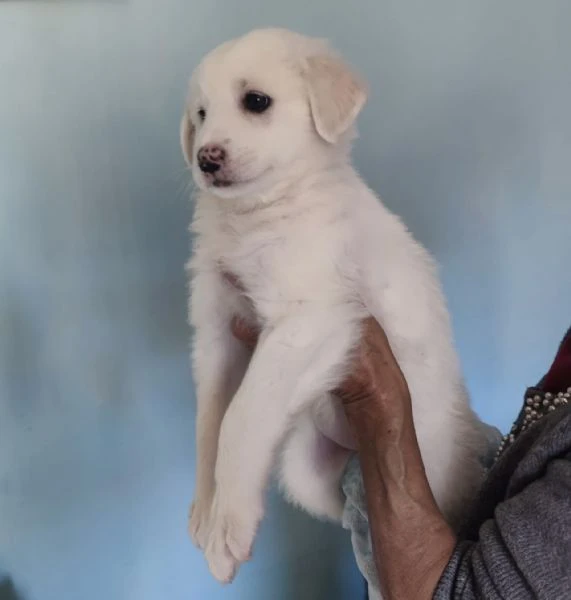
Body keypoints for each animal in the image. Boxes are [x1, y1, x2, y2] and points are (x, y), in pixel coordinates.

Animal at [181, 29, 484, 584]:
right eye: (200, 115)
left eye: (256, 101)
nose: (205, 159)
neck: (258, 216)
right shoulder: (216, 336)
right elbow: (209, 423)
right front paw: (206, 509)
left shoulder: (311, 318)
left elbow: (241, 417)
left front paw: (226, 525)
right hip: (303, 469)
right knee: (342, 507)